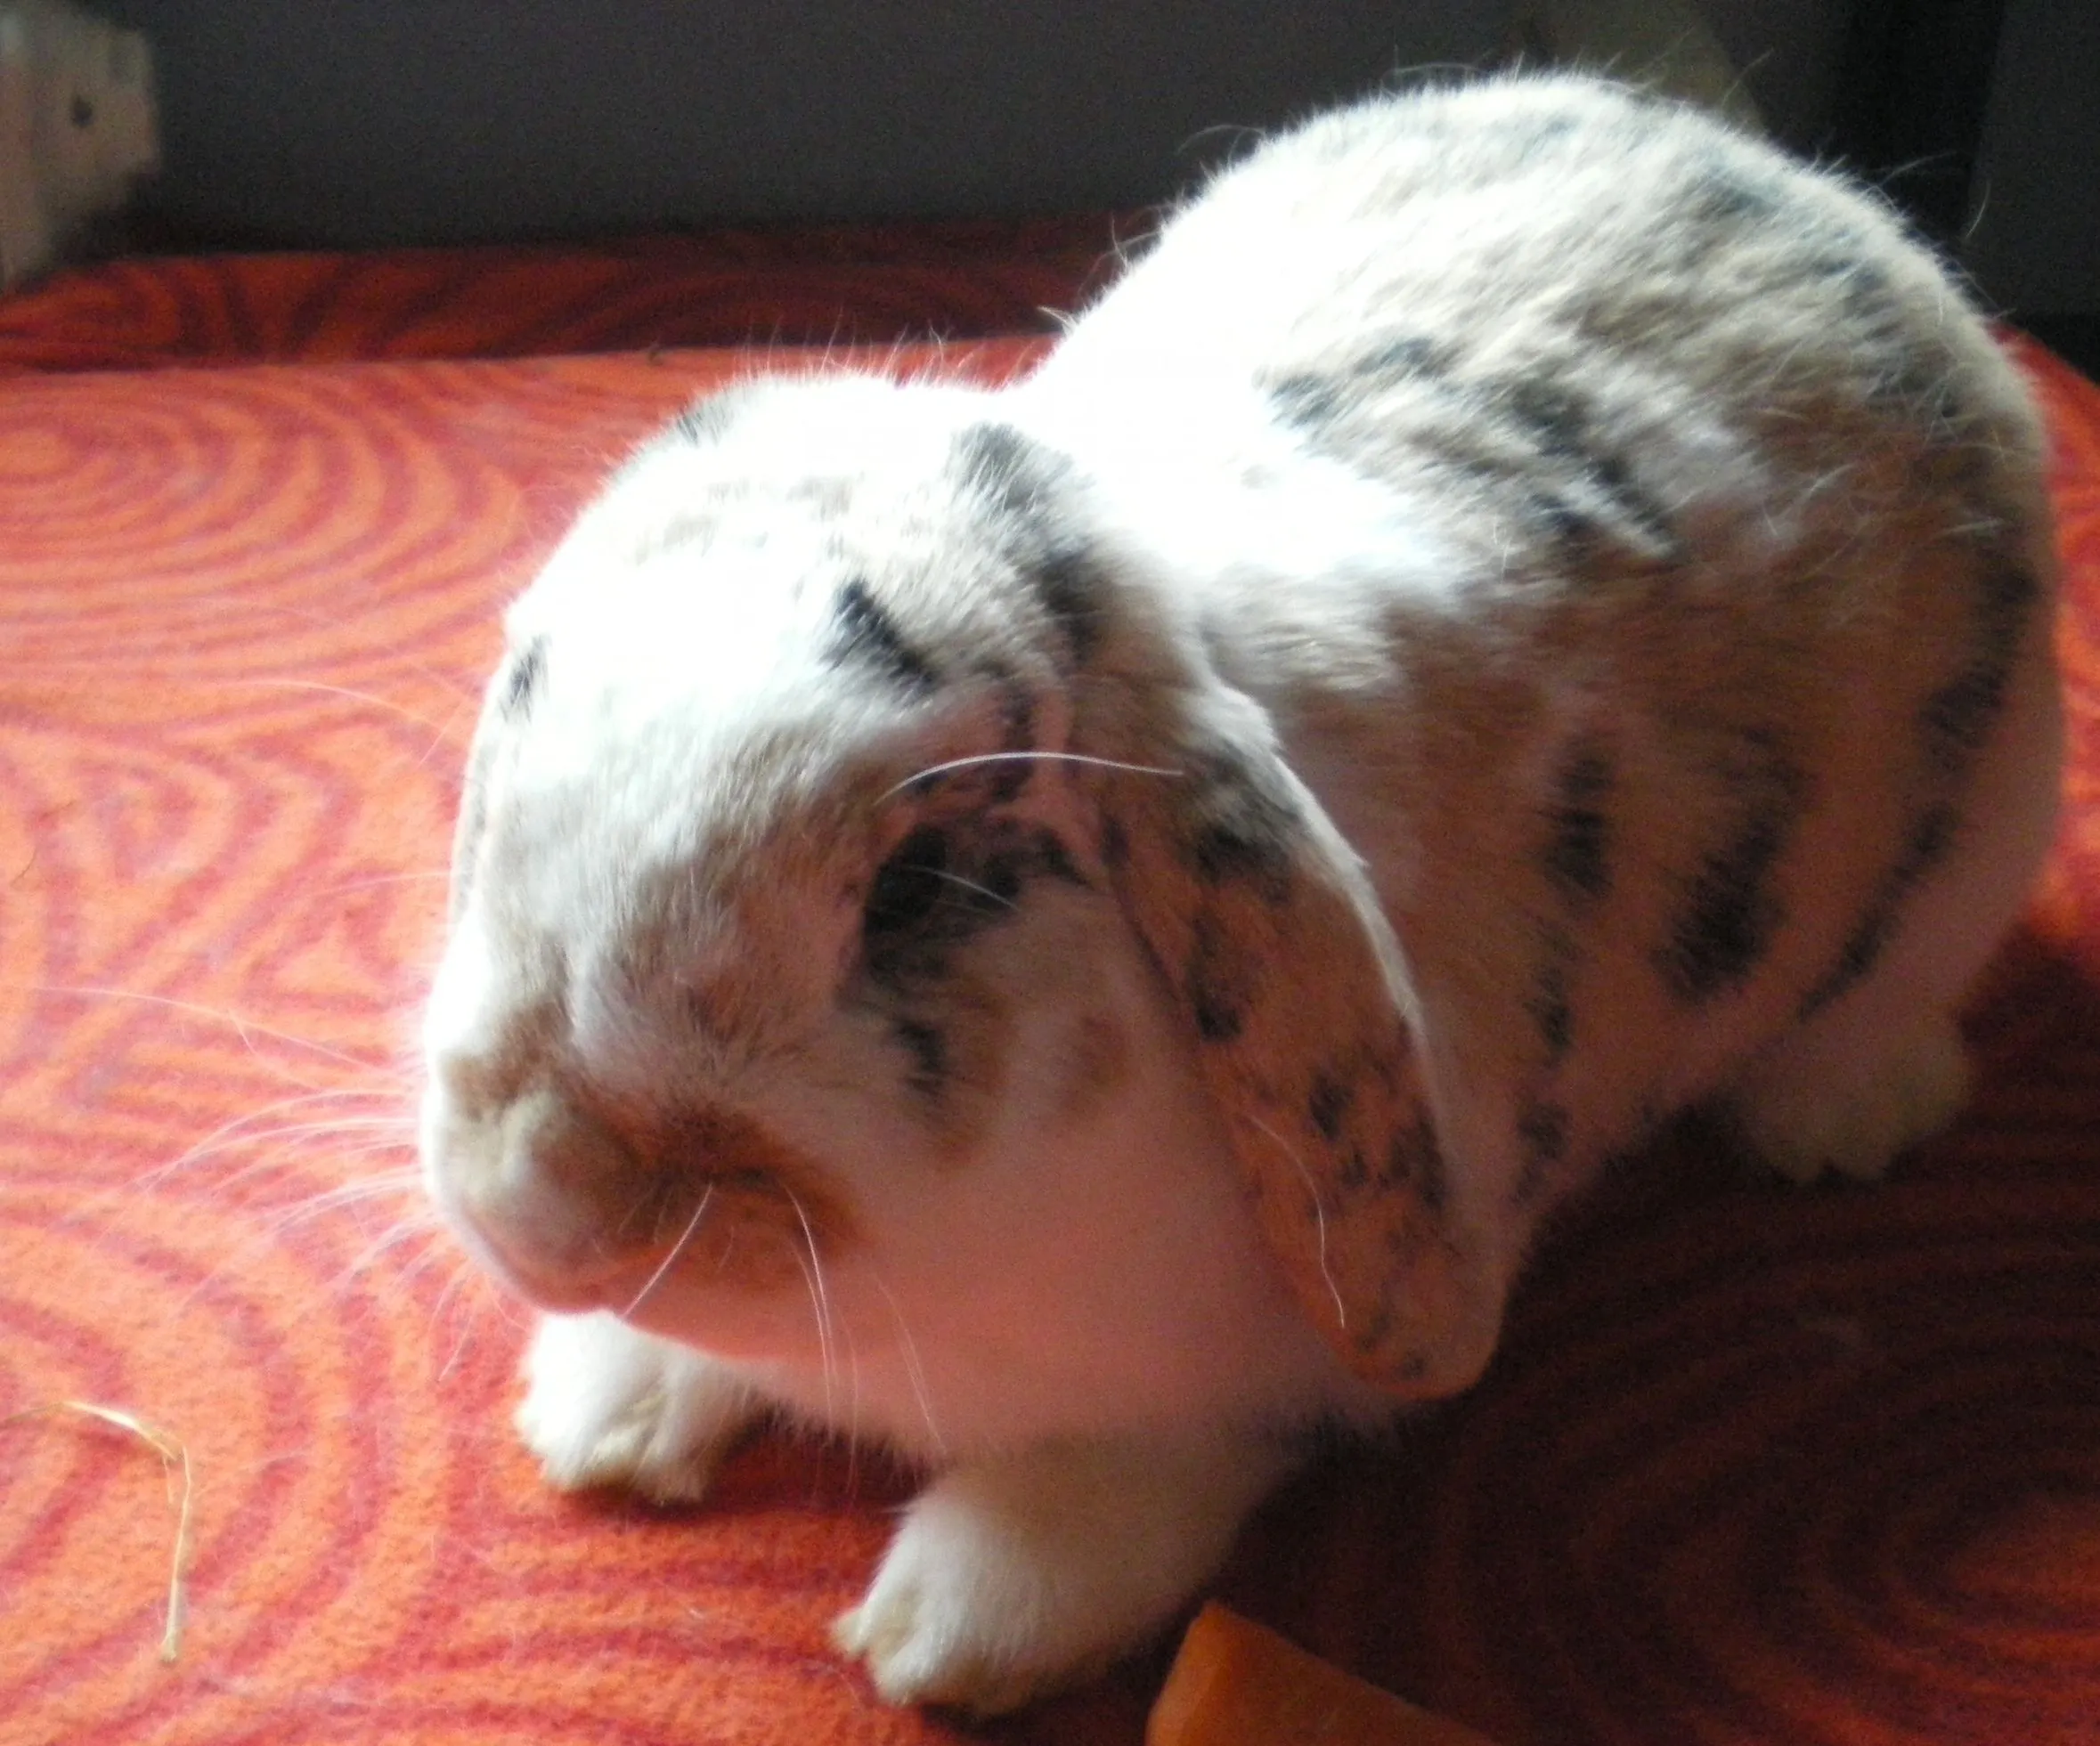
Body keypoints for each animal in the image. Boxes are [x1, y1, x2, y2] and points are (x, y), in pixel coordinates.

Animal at [419, 73, 2063, 1713]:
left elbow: (1127, 1482)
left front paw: (945, 1634)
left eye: (917, 888)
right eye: (518, 707)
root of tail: (1794, 181)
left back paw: (1838, 1126)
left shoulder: (1230, 1390)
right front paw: (604, 1418)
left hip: (1966, 857)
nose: (545, 1203)